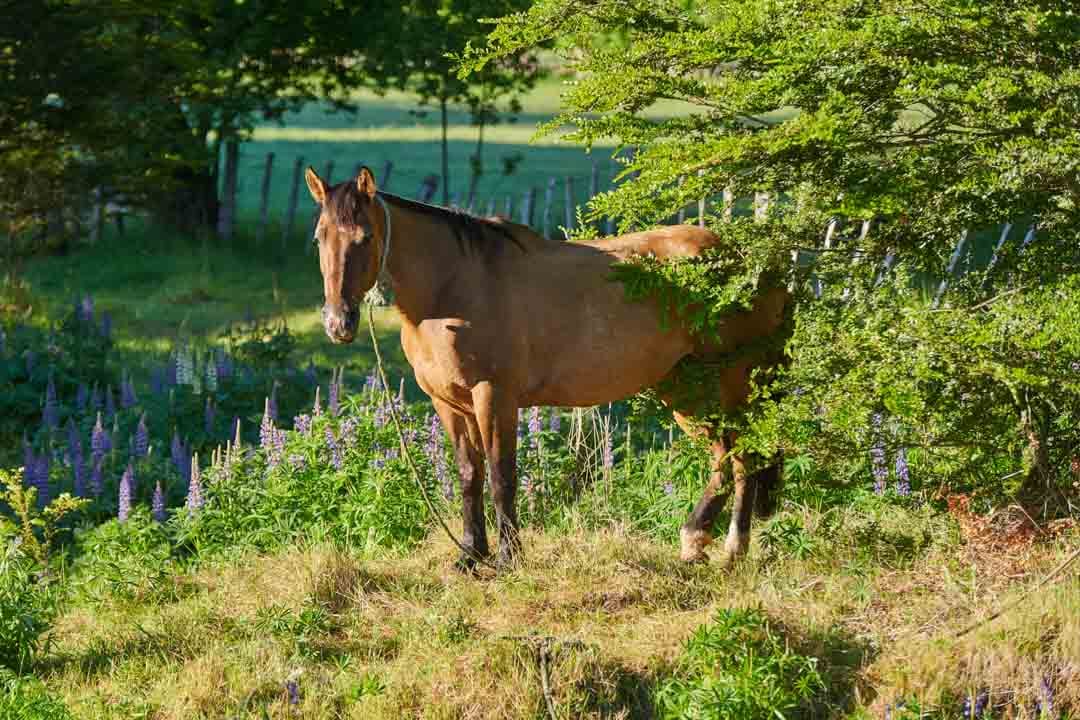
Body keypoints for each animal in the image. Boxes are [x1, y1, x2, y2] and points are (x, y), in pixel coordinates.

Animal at [304, 166, 786, 569]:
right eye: (319, 238)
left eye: (365, 237)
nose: (338, 322)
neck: (452, 289)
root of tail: (754, 261)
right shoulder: (449, 405)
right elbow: (469, 476)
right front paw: (471, 555)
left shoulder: (494, 396)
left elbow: (502, 476)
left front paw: (508, 558)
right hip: (684, 387)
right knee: (729, 454)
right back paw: (708, 545)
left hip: (727, 381)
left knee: (743, 454)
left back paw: (721, 545)